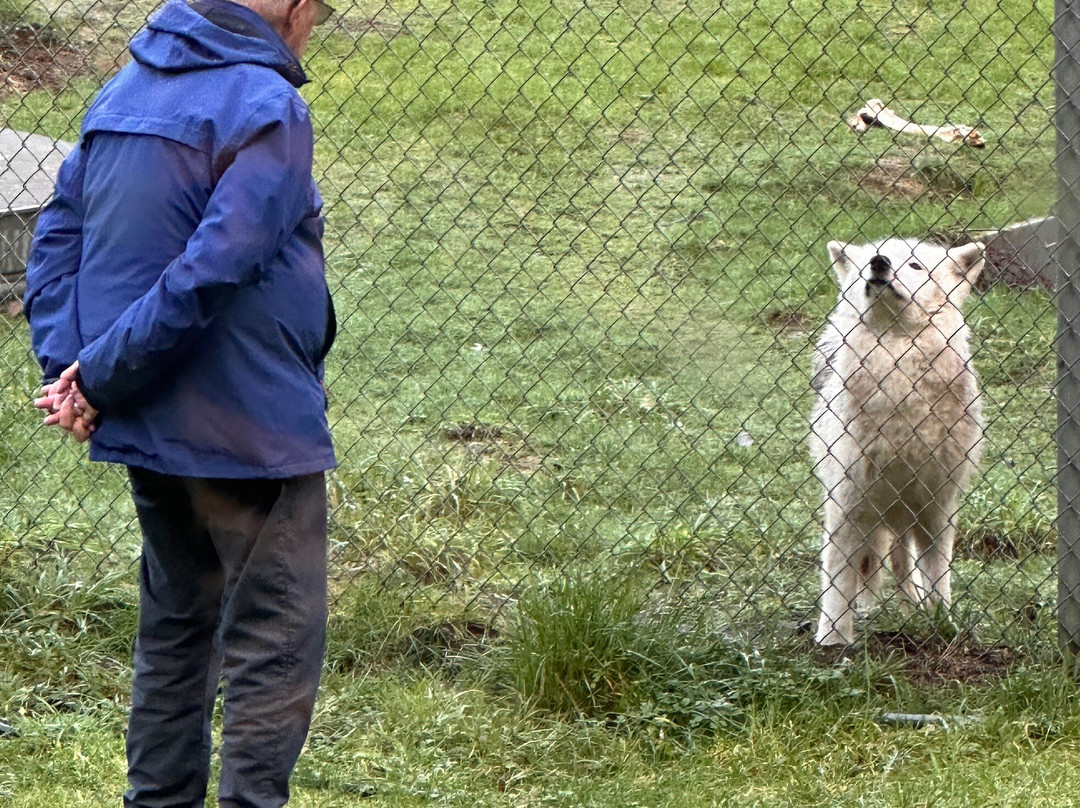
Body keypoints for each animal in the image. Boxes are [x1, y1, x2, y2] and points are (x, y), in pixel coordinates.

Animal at [811, 238, 985, 646]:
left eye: (916, 265)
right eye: (869, 262)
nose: (879, 263)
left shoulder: (937, 507)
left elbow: (938, 575)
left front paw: (942, 625)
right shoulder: (847, 505)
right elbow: (837, 579)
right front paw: (833, 640)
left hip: (906, 514)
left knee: (904, 562)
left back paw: (913, 609)